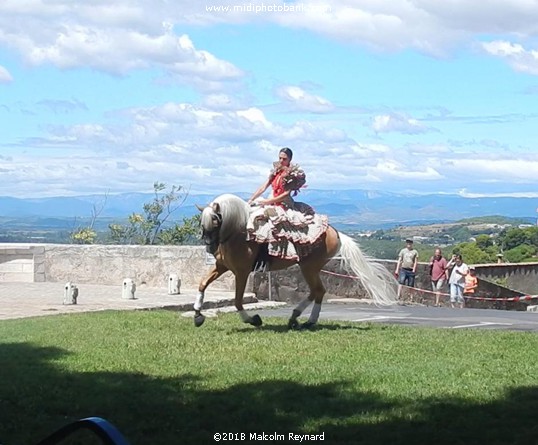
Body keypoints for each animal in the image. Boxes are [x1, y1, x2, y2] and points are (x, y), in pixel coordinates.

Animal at [195, 193, 396, 328]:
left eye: (216, 220)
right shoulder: (221, 266)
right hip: (309, 268)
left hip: (309, 267)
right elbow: (202, 284)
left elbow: (237, 301)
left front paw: (253, 320)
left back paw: (308, 320)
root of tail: (336, 232)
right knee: (316, 292)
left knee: (318, 291)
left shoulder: (242, 272)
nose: (209, 248)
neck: (238, 233)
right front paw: (197, 315)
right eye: (201, 223)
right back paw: (296, 318)